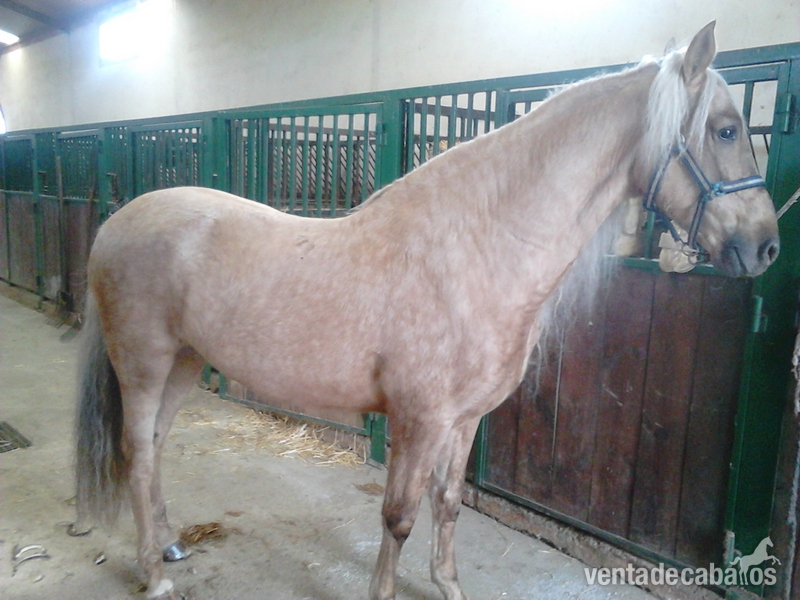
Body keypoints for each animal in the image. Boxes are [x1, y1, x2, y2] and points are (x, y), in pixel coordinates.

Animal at [72, 22, 779, 600]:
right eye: (725, 128)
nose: (766, 246)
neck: (478, 248)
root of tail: (115, 223)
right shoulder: (418, 420)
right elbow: (399, 516)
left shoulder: (462, 421)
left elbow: (447, 505)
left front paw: (447, 584)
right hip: (144, 365)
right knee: (136, 452)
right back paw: (155, 575)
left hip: (185, 362)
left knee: (155, 447)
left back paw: (169, 546)